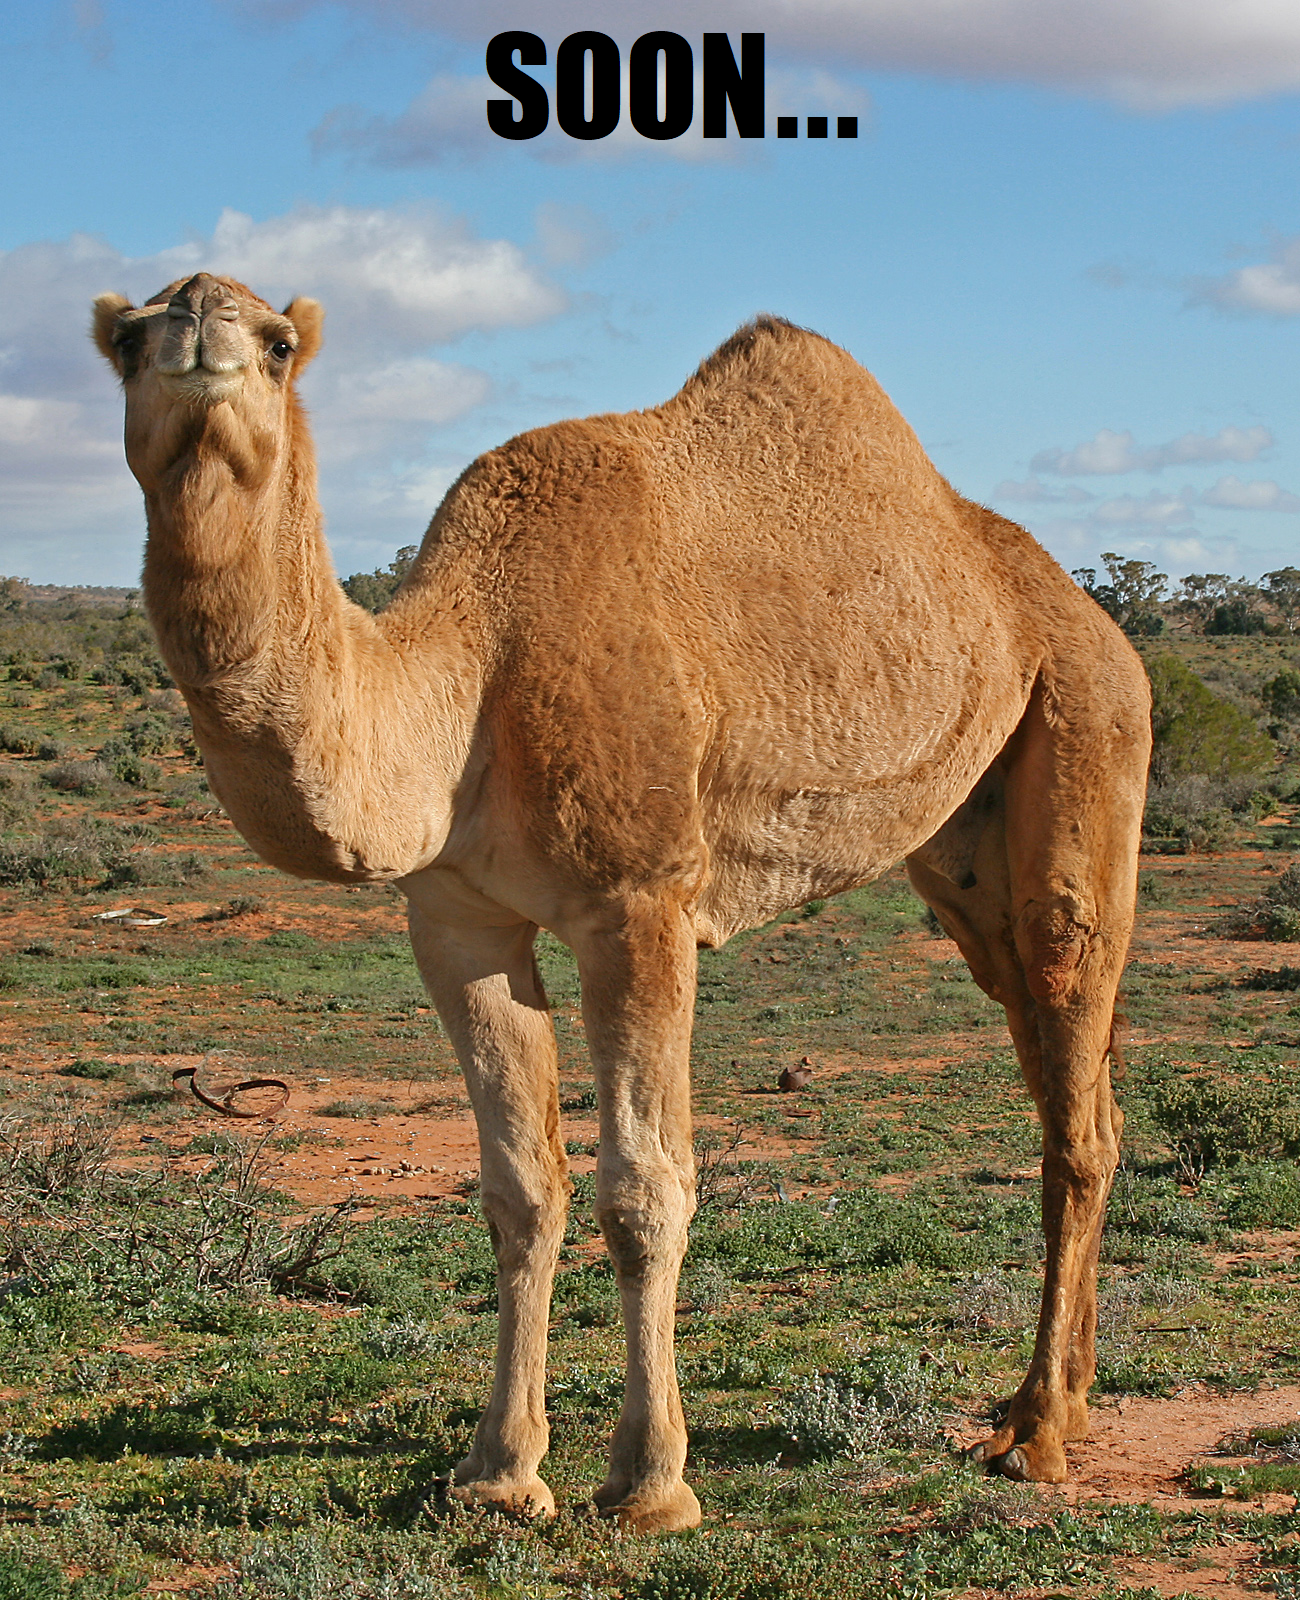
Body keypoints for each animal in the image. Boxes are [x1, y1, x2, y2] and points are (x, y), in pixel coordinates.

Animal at [92, 273, 1151, 1532]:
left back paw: (1037, 1433)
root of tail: (1089, 615)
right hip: (965, 850)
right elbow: (519, 1186)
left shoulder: (639, 903)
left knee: (1074, 1074)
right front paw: (498, 1475)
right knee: (1065, 1081)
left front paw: (649, 1483)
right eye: (127, 339)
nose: (199, 325)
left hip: (1087, 730)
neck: (468, 675)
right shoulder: (456, 920)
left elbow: (645, 1188)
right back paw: (1059, 1400)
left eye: (278, 343)